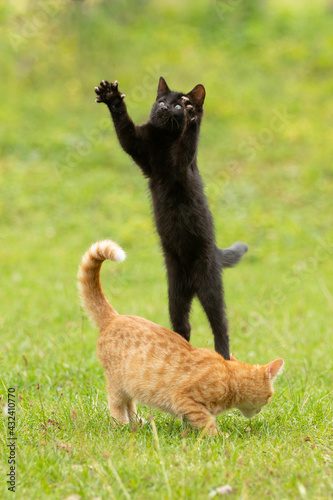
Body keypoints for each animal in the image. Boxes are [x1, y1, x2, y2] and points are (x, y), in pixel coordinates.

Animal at [78, 240, 282, 436]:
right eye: (269, 396)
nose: (261, 410)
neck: (229, 377)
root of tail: (114, 317)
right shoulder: (183, 399)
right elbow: (206, 421)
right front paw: (219, 436)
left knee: (130, 404)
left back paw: (136, 423)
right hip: (117, 385)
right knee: (117, 405)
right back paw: (121, 425)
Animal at [93, 76, 246, 360]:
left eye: (177, 105)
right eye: (161, 101)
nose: (165, 108)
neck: (163, 141)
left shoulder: (182, 163)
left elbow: (187, 143)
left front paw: (192, 117)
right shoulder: (139, 147)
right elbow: (124, 128)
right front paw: (111, 97)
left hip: (209, 285)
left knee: (220, 325)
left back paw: (222, 355)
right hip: (175, 295)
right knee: (182, 325)